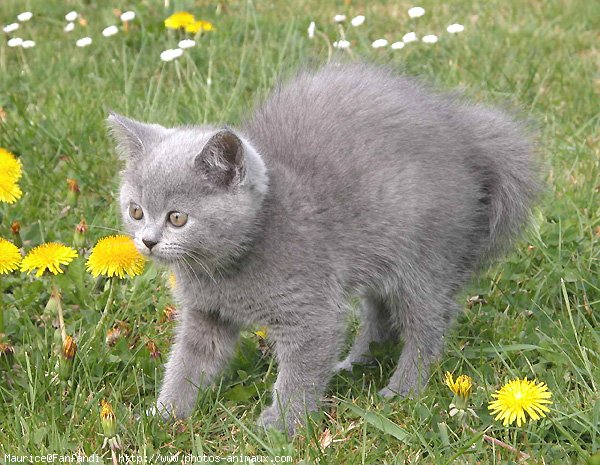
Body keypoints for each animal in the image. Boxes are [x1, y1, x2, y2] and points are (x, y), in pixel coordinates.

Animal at [108, 61, 540, 432]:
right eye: (136, 210)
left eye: (177, 218)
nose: (147, 241)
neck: (226, 268)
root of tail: (465, 133)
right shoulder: (206, 314)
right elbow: (188, 363)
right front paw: (163, 416)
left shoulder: (310, 310)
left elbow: (300, 371)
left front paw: (280, 427)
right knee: (379, 313)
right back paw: (354, 364)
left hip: (425, 257)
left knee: (427, 326)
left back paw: (402, 389)